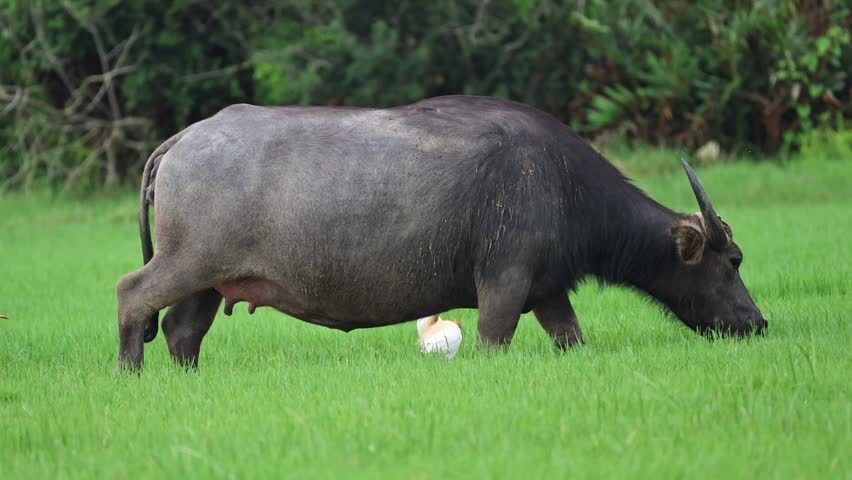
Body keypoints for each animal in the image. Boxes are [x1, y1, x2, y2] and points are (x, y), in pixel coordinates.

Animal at [116, 95, 766, 370]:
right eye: (732, 260)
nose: (757, 322)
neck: (562, 185)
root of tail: (184, 138)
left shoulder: (549, 291)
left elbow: (571, 338)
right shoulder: (504, 282)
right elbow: (492, 340)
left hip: (210, 279)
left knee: (181, 330)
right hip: (187, 262)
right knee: (132, 295)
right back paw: (130, 372)